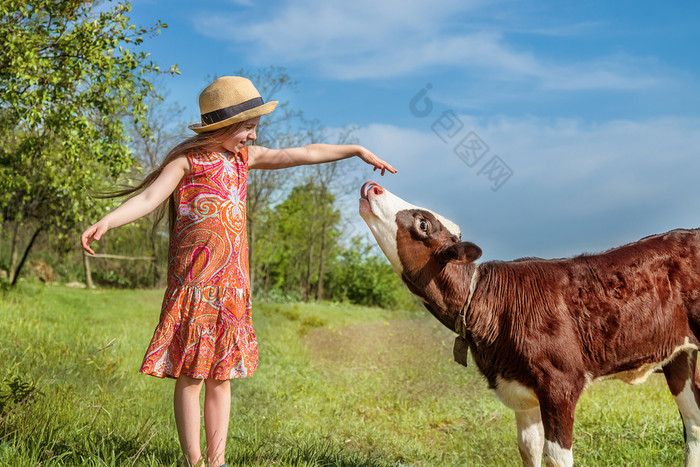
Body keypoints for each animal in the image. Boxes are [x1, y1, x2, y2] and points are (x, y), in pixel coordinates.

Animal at [360, 181, 700, 466]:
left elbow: (556, 456)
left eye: (423, 224)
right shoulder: (521, 391)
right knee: (694, 423)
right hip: (679, 357)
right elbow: (528, 448)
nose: (372, 185)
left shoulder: (560, 382)